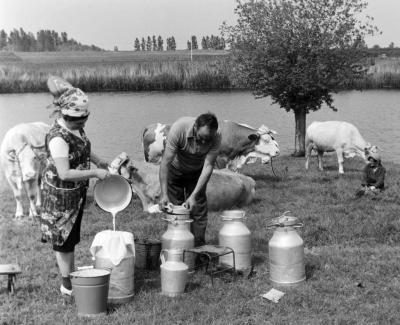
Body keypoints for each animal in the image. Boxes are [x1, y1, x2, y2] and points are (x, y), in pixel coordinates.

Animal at [142, 119, 280, 171]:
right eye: (266, 140)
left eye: (273, 138)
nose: (278, 152)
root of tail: (151, 126)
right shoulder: (220, 159)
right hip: (151, 157)